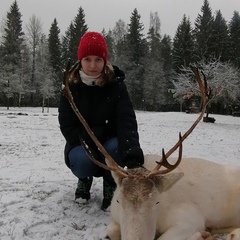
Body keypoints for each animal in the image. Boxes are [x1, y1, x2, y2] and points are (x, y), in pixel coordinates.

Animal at [62, 61, 240, 240]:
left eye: (156, 202)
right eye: (118, 201)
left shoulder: (190, 218)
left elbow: (164, 237)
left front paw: (199, 234)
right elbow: (111, 230)